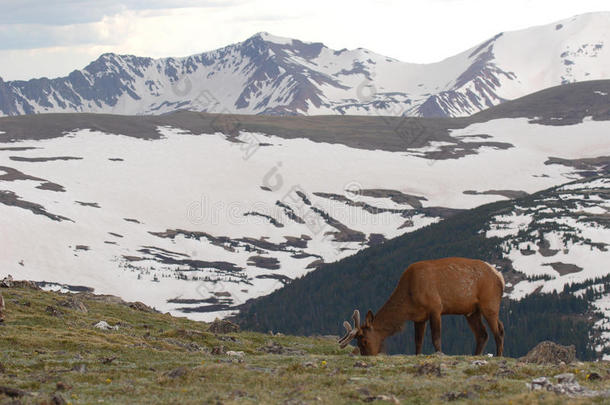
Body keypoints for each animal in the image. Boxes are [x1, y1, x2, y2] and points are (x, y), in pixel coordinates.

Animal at [338, 258, 504, 356]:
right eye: (358, 343)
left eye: (364, 341)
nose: (367, 356)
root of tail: (499, 276)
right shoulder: (419, 317)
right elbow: (418, 341)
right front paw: (418, 355)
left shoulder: (435, 307)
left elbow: (436, 338)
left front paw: (439, 355)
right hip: (471, 311)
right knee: (483, 334)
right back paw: (475, 356)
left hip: (489, 303)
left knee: (499, 331)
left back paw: (498, 356)